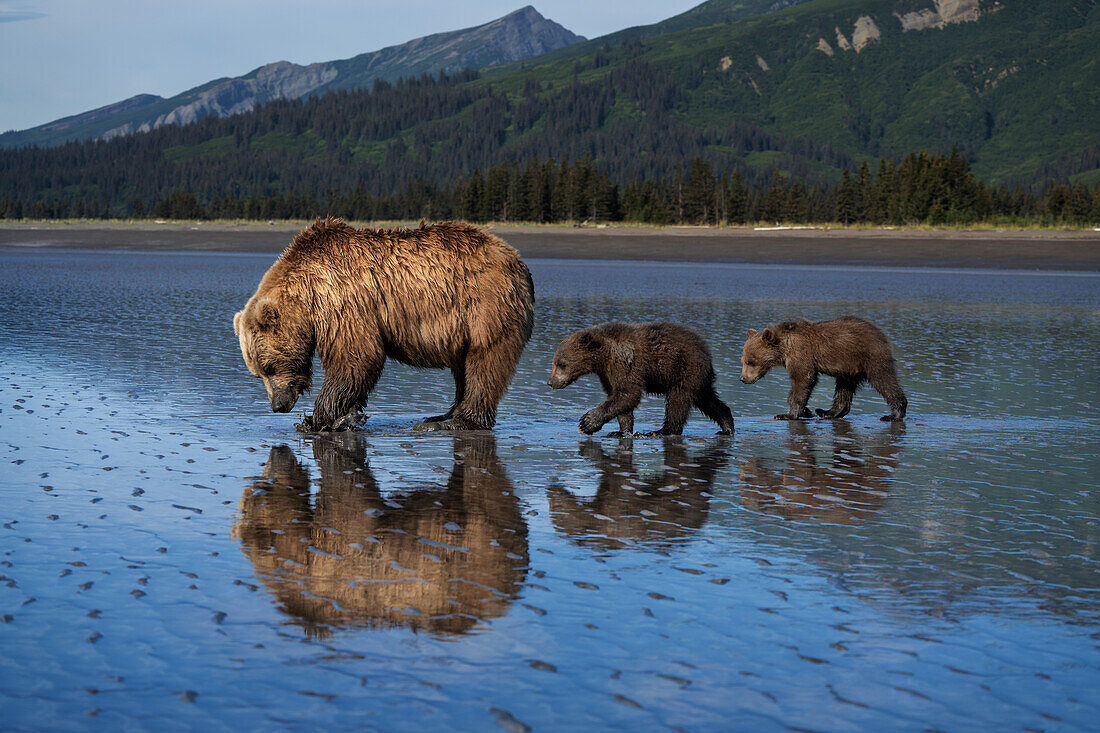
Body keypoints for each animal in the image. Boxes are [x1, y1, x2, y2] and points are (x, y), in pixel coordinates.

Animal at [234, 220, 534, 431]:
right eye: (256, 374)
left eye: (269, 368)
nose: (278, 405)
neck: (308, 295)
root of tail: (516, 260)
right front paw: (347, 416)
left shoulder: (343, 301)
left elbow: (357, 356)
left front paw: (316, 420)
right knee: (463, 368)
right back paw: (442, 414)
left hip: (485, 307)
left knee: (484, 362)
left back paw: (454, 421)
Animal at [545, 321, 734, 433]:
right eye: (554, 362)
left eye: (561, 363)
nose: (550, 382)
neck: (604, 358)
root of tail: (707, 352)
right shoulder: (607, 375)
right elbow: (620, 398)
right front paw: (622, 431)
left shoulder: (624, 365)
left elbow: (628, 393)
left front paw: (587, 422)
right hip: (698, 378)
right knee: (708, 400)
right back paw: (727, 425)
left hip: (684, 370)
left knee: (677, 402)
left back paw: (662, 431)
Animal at [734, 316, 906, 420]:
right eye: (742, 360)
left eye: (751, 361)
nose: (743, 378)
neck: (785, 348)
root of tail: (880, 332)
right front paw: (807, 411)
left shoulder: (801, 353)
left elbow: (804, 379)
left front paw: (787, 414)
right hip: (849, 367)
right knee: (844, 388)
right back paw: (827, 412)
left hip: (871, 356)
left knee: (884, 379)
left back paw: (894, 414)